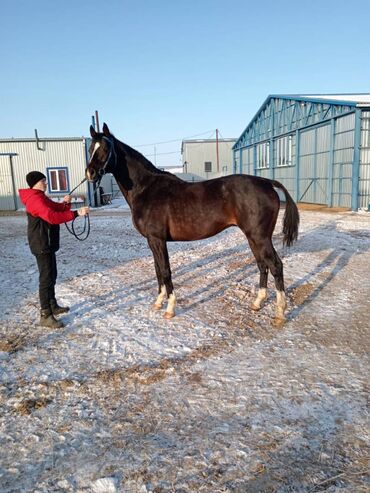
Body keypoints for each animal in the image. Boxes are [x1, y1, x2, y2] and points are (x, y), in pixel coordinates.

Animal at [85, 122, 300, 326]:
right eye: (90, 148)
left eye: (106, 148)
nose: (90, 173)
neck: (146, 188)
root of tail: (267, 182)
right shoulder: (152, 241)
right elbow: (157, 270)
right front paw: (159, 301)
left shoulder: (157, 239)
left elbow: (165, 271)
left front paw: (170, 308)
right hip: (253, 238)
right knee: (262, 265)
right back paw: (257, 303)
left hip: (260, 237)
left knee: (275, 265)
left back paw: (280, 312)